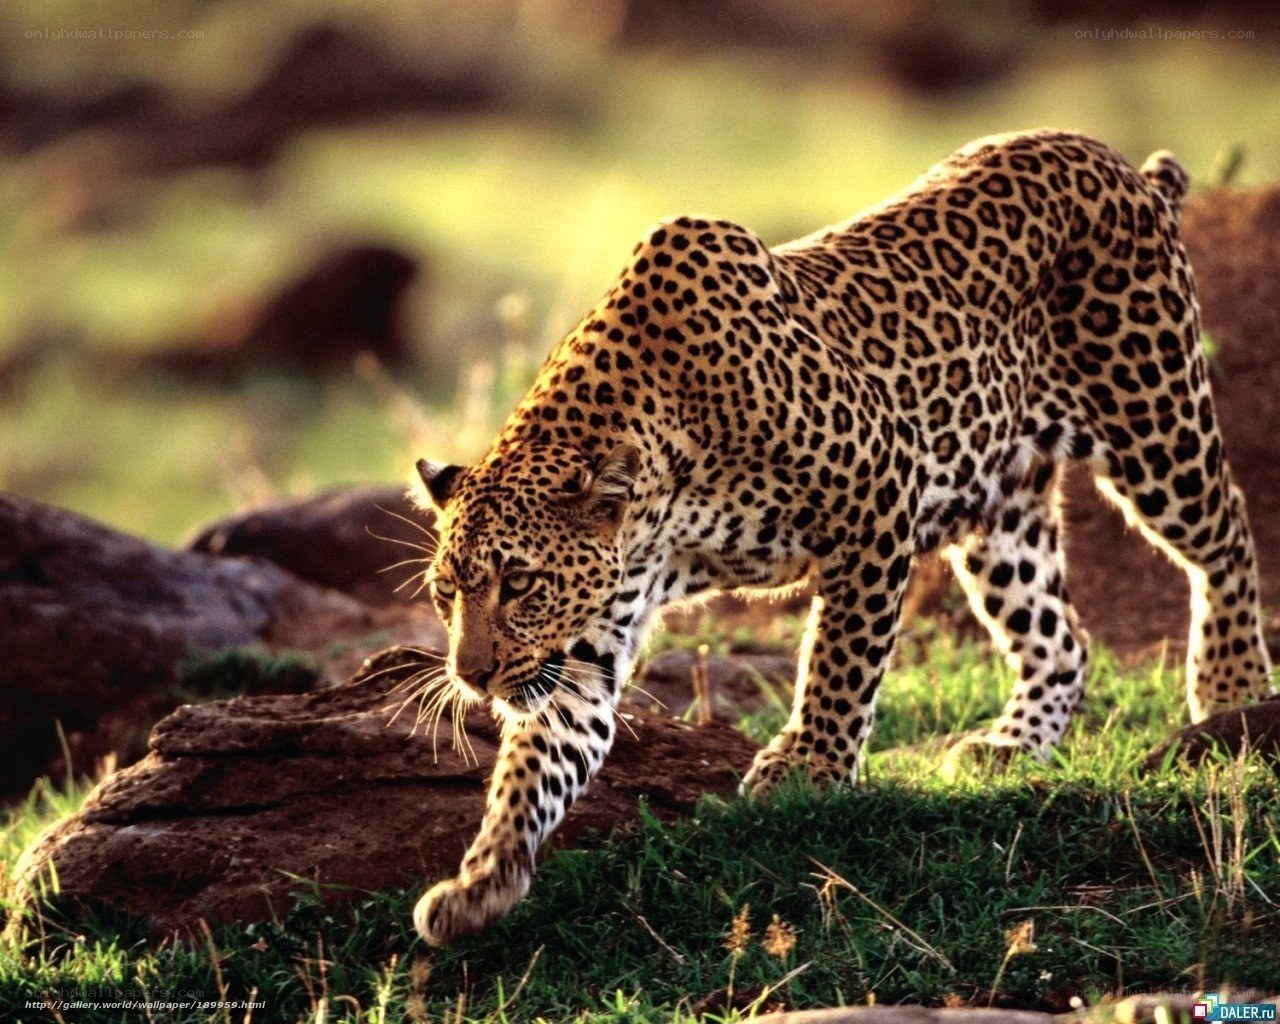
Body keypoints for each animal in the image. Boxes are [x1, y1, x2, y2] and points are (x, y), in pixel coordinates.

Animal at [409, 129, 1273, 947]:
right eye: (447, 593)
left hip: (1154, 422)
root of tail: (1120, 164)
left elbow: (840, 658)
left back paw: (1231, 689)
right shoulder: (587, 643)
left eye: (520, 584)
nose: (472, 676)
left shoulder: (879, 490)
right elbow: (540, 762)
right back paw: (1011, 744)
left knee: (1228, 534)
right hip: (1001, 509)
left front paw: (809, 766)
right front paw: (481, 881)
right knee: (1061, 637)